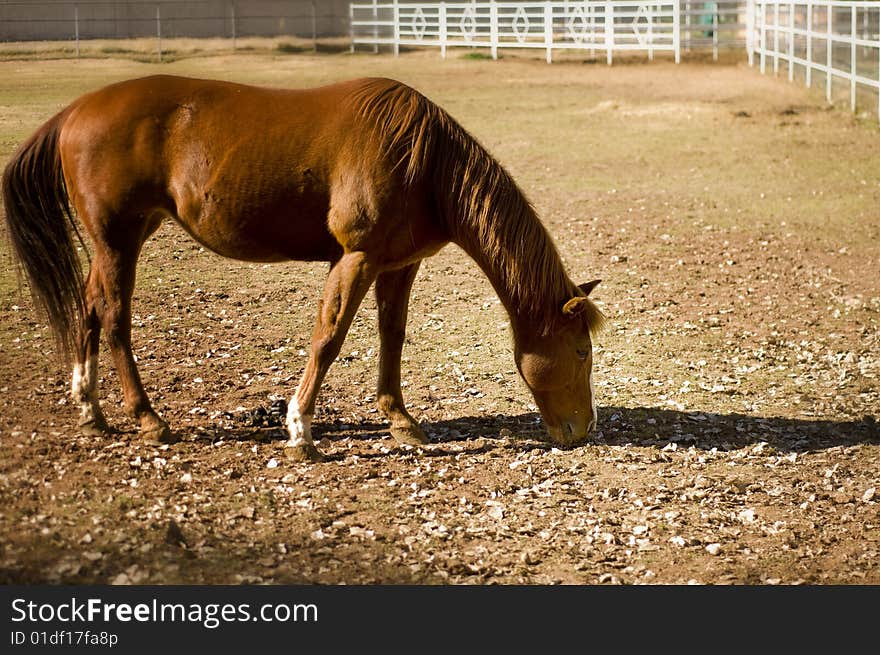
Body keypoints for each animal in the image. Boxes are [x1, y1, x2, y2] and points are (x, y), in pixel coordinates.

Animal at [1, 74, 604, 462]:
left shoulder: (397, 266)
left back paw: (91, 409)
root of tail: (75, 112)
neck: (425, 161)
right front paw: (301, 430)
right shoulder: (355, 259)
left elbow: (392, 336)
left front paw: (401, 422)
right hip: (117, 240)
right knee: (114, 317)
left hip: (121, 240)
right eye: (580, 351)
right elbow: (329, 339)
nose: (582, 430)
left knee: (89, 307)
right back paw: (147, 419)